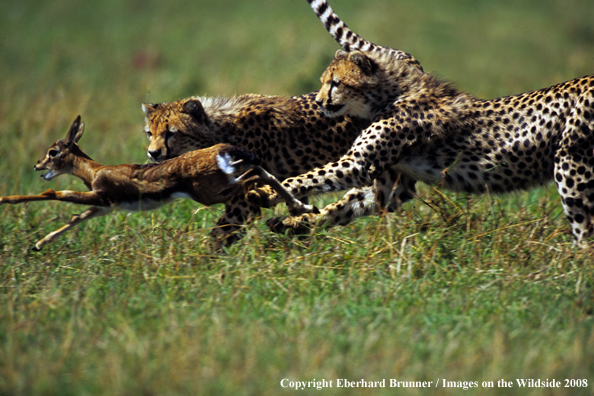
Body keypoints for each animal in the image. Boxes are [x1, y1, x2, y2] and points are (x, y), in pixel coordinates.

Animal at [253, 0, 592, 248]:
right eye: (324, 81)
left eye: (335, 83)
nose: (321, 102)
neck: (392, 93)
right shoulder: (393, 186)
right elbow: (343, 206)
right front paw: (295, 223)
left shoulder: (358, 164)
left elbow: (305, 177)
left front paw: (263, 192)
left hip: (572, 168)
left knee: (584, 230)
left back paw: (573, 269)